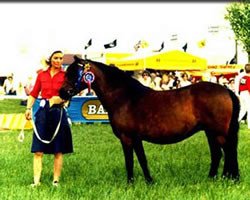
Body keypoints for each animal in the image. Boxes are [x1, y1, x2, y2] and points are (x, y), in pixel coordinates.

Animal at [59, 55, 240, 184]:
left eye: (74, 73)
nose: (62, 92)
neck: (124, 97)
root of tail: (226, 91)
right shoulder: (136, 138)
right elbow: (142, 159)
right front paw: (149, 181)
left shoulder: (126, 138)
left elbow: (130, 161)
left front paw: (130, 184)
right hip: (211, 132)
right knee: (218, 153)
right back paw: (213, 178)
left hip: (218, 132)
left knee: (228, 151)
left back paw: (230, 179)